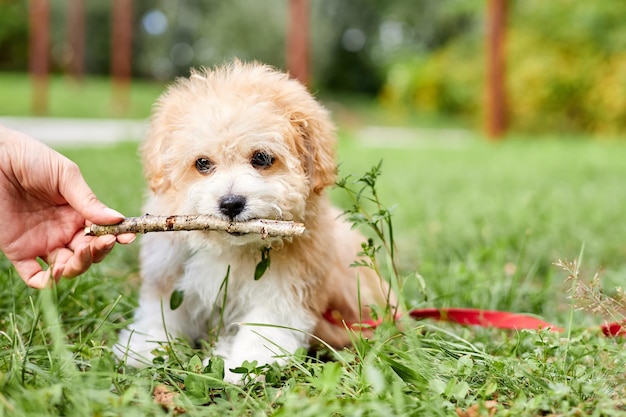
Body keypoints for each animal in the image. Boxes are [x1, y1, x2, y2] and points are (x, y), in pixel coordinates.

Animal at [115, 60, 392, 382]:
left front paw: (243, 364)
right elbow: (160, 311)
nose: (231, 203)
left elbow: (265, 327)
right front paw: (145, 347)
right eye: (202, 163)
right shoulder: (168, 269)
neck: (231, 249)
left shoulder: (287, 288)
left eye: (261, 158)